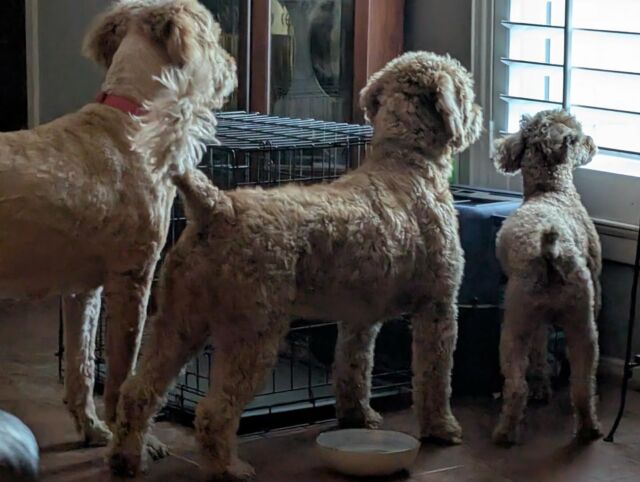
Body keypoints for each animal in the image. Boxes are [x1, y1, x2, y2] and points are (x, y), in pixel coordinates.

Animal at [0, 0, 236, 452]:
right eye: (214, 34)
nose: (232, 66)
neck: (134, 122)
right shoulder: (133, 278)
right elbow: (123, 373)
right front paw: (133, 441)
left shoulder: (83, 290)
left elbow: (83, 367)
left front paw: (93, 429)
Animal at [109, 50, 480, 480]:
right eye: (465, 89)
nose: (477, 113)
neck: (406, 162)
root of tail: (217, 207)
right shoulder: (438, 307)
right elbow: (435, 377)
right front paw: (442, 428)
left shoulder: (359, 319)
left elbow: (353, 370)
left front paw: (358, 417)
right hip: (252, 334)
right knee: (213, 412)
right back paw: (229, 467)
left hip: (179, 321)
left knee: (137, 392)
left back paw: (126, 458)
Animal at [492, 108, 604, 444]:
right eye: (576, 136)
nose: (592, 142)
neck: (551, 191)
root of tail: (549, 252)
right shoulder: (594, 293)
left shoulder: (539, 321)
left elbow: (540, 356)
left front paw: (543, 388)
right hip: (574, 324)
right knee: (576, 385)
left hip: (527, 323)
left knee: (524, 386)